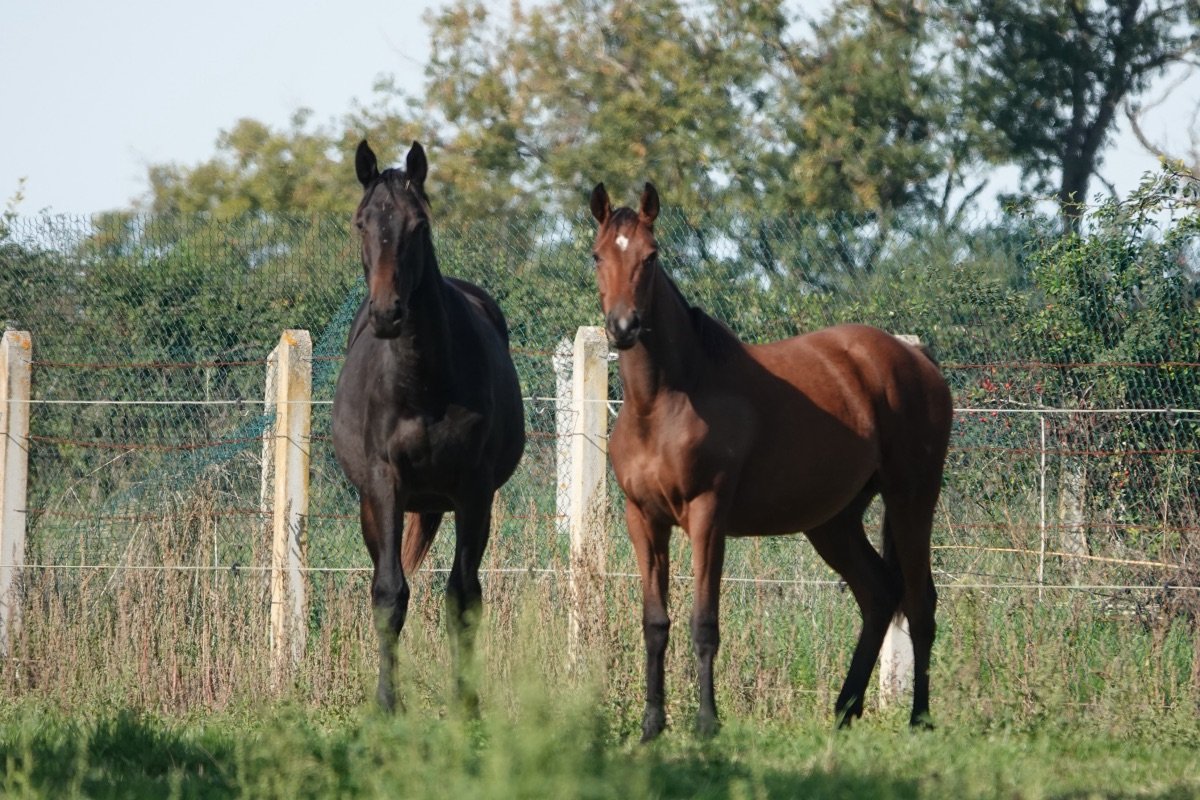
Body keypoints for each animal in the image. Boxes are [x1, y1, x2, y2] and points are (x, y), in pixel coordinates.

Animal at [332, 140, 525, 713]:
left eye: (419, 225)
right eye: (361, 222)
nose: (388, 313)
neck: (423, 383)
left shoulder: (474, 490)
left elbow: (463, 597)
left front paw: (467, 703)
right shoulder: (384, 485)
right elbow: (389, 592)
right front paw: (387, 705)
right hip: (373, 507)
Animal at [588, 182, 953, 741]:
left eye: (650, 256)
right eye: (597, 255)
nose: (623, 327)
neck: (665, 401)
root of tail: (916, 358)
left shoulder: (707, 516)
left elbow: (704, 622)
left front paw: (707, 723)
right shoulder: (643, 520)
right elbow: (655, 623)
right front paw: (652, 727)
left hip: (912, 497)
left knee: (919, 601)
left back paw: (919, 719)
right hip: (834, 521)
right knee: (878, 594)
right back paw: (844, 710)